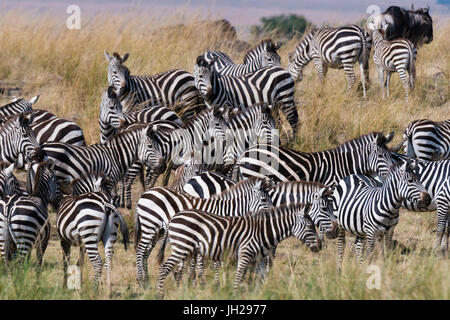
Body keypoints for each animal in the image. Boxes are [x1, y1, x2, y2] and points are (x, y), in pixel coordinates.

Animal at [134, 178, 270, 288]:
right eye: (264, 199)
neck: (226, 211)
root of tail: (146, 192)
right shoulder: (214, 235)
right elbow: (213, 262)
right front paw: (215, 283)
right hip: (149, 225)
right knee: (140, 250)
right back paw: (140, 281)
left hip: (158, 231)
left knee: (146, 252)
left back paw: (146, 280)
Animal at [156, 202, 318, 298]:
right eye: (310, 226)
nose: (320, 245)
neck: (262, 232)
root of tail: (173, 217)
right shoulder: (245, 253)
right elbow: (240, 276)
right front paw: (235, 295)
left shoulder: (255, 259)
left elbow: (253, 278)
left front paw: (254, 294)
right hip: (181, 247)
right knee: (164, 268)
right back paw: (160, 294)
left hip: (186, 251)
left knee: (179, 272)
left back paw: (182, 292)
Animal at [236, 131, 394, 186]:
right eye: (380, 156)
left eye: (391, 155)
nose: (392, 172)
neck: (344, 164)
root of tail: (246, 152)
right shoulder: (331, 186)